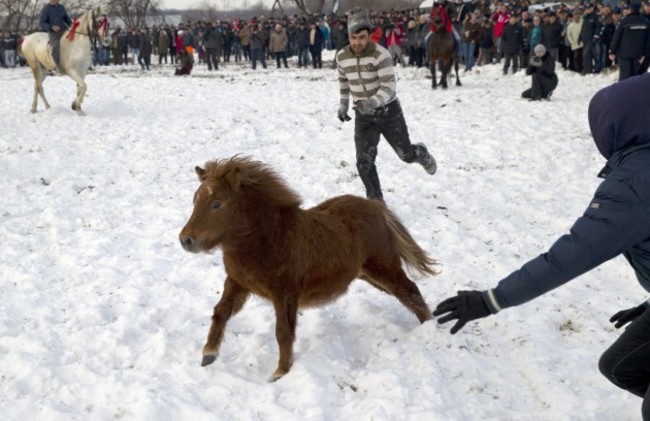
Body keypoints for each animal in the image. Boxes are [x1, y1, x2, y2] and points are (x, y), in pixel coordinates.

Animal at [180, 156, 438, 378]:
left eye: (216, 204)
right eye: (195, 200)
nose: (186, 240)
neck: (267, 239)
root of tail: (375, 206)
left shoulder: (284, 295)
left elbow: (284, 333)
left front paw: (280, 372)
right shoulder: (238, 283)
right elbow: (220, 312)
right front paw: (208, 354)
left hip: (383, 269)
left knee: (410, 292)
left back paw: (430, 329)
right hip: (368, 275)